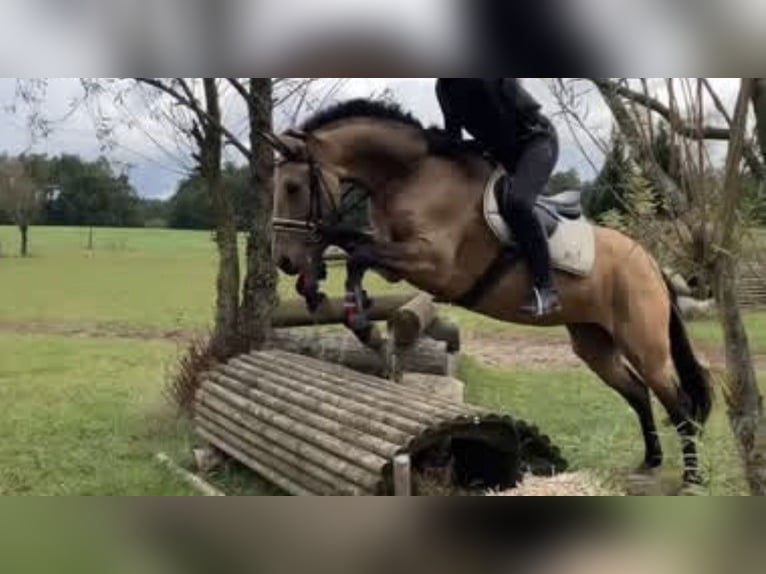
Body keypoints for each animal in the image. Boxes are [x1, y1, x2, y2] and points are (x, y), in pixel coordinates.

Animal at [271, 99, 713, 487]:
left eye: (293, 187)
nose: (285, 261)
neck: (410, 175)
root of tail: (650, 261)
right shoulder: (395, 264)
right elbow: (350, 244)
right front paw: (318, 288)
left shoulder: (433, 264)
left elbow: (358, 254)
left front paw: (358, 316)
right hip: (594, 342)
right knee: (638, 392)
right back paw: (650, 461)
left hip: (643, 341)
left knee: (678, 402)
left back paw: (691, 478)